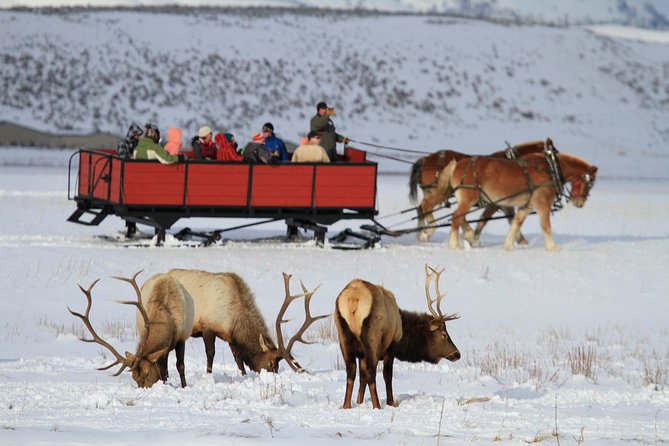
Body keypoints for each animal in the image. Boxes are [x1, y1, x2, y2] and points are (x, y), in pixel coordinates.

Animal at [167, 269, 328, 375]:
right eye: (271, 363)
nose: (273, 375)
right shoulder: (208, 326)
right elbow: (210, 353)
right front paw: (209, 374)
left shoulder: (231, 337)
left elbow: (238, 359)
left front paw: (244, 375)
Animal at [334, 265, 461, 409]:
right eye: (444, 334)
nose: (457, 354)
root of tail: (353, 299)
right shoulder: (392, 345)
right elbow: (387, 375)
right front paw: (391, 403)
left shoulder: (361, 355)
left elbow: (362, 378)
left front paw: (359, 402)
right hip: (372, 338)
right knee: (371, 373)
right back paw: (377, 406)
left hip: (343, 336)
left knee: (351, 372)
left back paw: (346, 406)